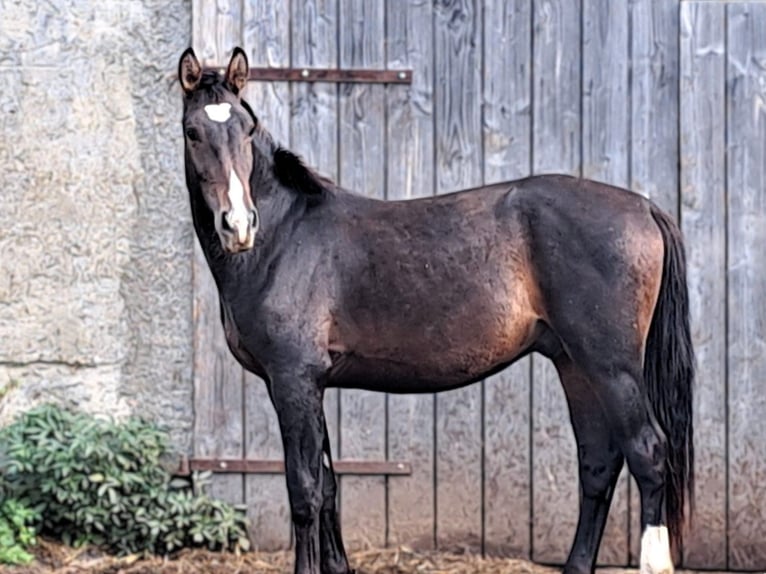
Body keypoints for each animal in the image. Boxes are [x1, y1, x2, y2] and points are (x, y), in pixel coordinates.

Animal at [177, 47, 693, 574]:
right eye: (192, 131)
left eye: (246, 129)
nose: (238, 225)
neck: (285, 237)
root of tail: (645, 208)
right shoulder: (312, 384)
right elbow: (328, 487)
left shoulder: (292, 380)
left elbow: (304, 492)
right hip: (575, 364)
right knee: (598, 462)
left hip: (611, 367)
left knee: (648, 453)